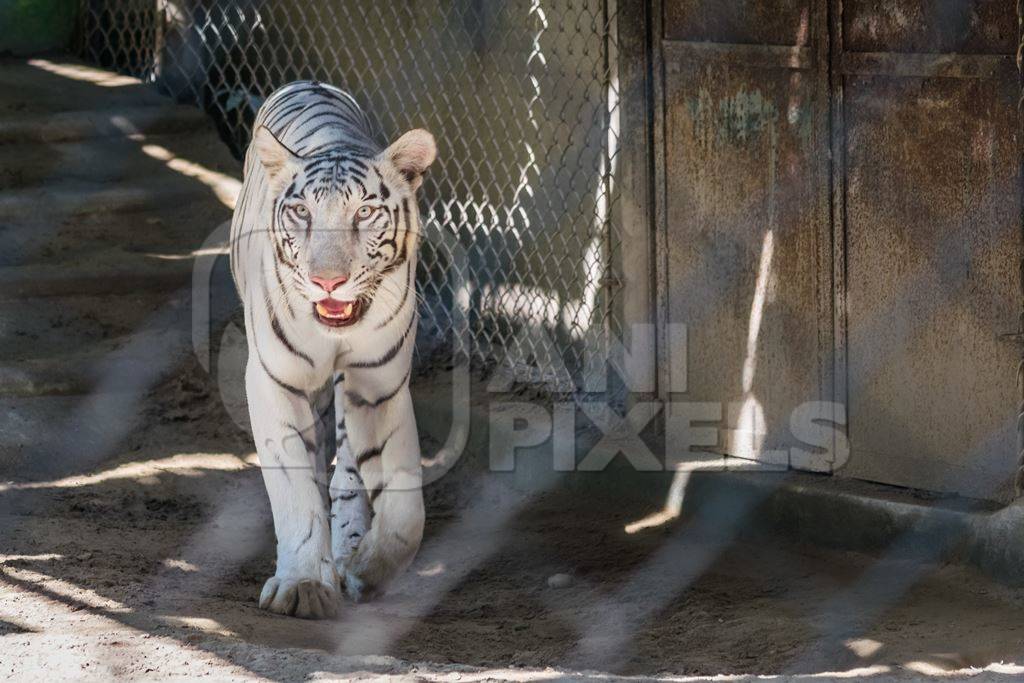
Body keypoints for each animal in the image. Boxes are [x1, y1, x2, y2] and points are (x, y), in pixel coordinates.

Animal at [230, 80, 438, 618]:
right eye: (301, 212)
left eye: (364, 212)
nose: (327, 282)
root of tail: (308, 82)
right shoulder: (272, 379)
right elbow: (295, 488)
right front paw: (303, 583)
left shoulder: (378, 384)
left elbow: (405, 510)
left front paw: (367, 570)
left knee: (347, 474)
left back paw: (348, 546)